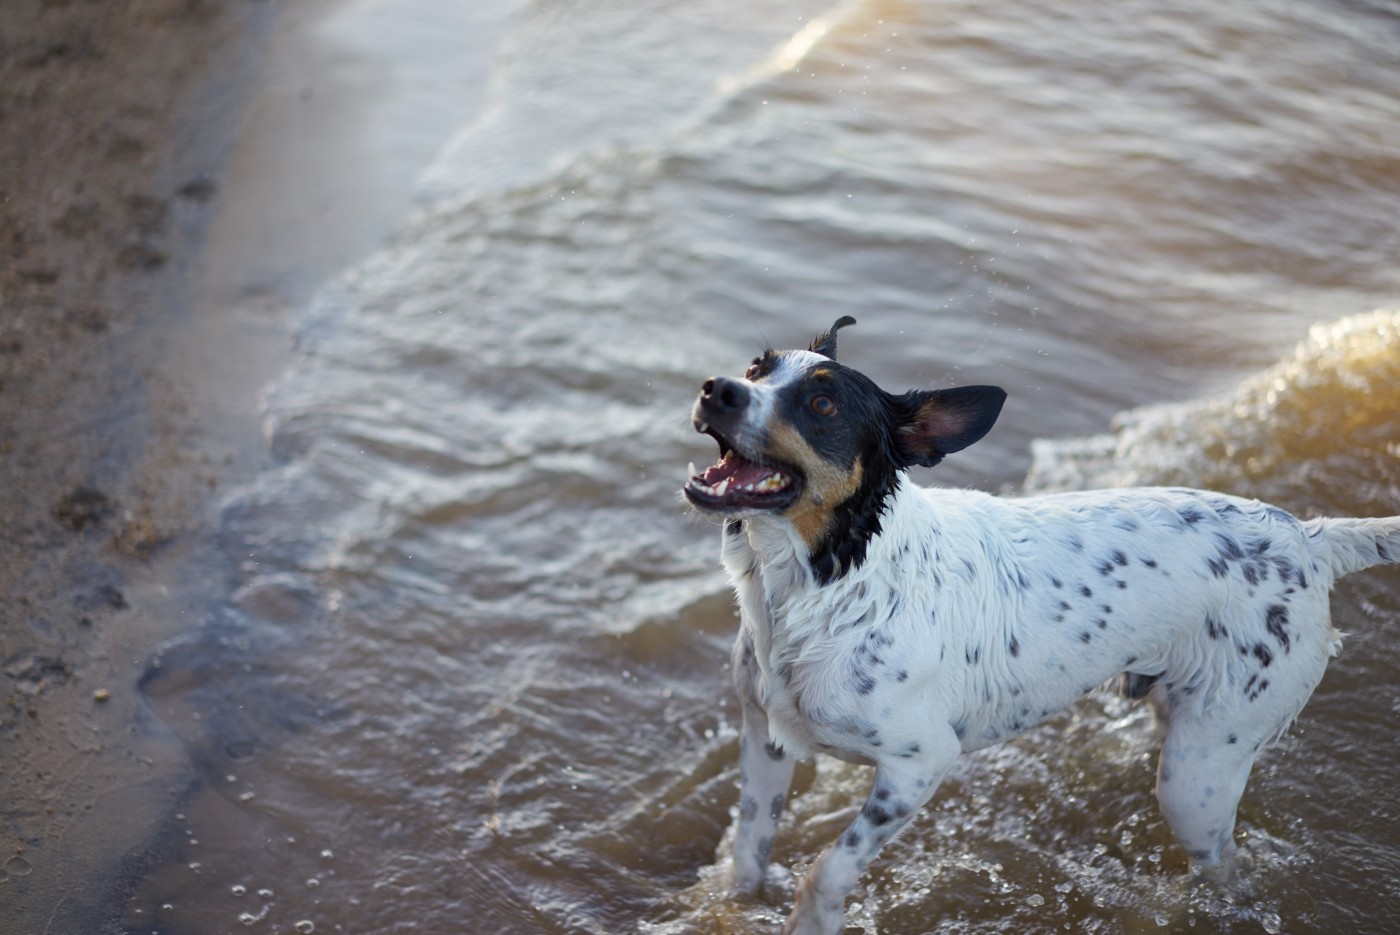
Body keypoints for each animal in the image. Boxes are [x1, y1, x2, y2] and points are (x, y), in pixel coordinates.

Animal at [680, 317, 1400, 929]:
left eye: (823, 405)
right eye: (757, 366)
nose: (718, 388)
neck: (827, 582)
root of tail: (1309, 538)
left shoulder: (918, 765)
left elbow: (826, 871)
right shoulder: (765, 740)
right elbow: (747, 855)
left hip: (1197, 778)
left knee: (1227, 865)